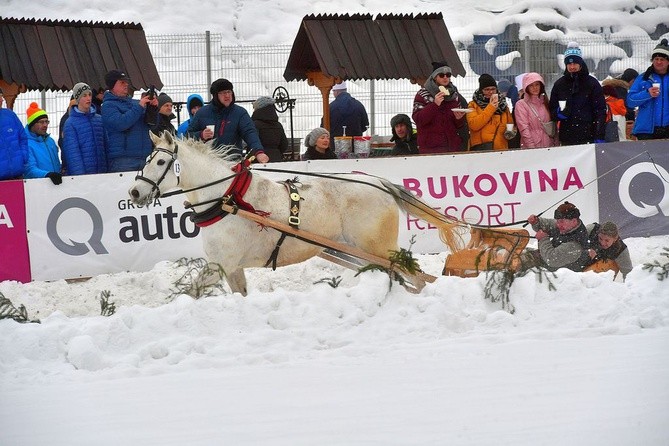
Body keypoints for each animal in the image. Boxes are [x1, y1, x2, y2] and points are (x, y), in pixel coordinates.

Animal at [128, 131, 456, 294]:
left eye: (160, 162)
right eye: (147, 159)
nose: (134, 193)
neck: (227, 198)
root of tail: (380, 182)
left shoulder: (220, 264)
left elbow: (190, 293)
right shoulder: (232, 268)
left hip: (377, 245)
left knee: (412, 272)